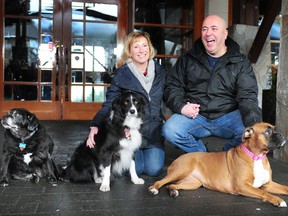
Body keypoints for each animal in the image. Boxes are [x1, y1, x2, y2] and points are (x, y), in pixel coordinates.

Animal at [148, 122, 288, 207]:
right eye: (268, 132)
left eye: (275, 129)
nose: (282, 134)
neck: (256, 156)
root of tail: (179, 158)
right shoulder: (242, 186)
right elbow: (264, 193)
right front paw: (278, 200)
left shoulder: (267, 184)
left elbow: (285, 188)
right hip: (181, 170)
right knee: (161, 181)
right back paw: (154, 188)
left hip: (193, 183)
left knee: (170, 185)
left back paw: (173, 191)